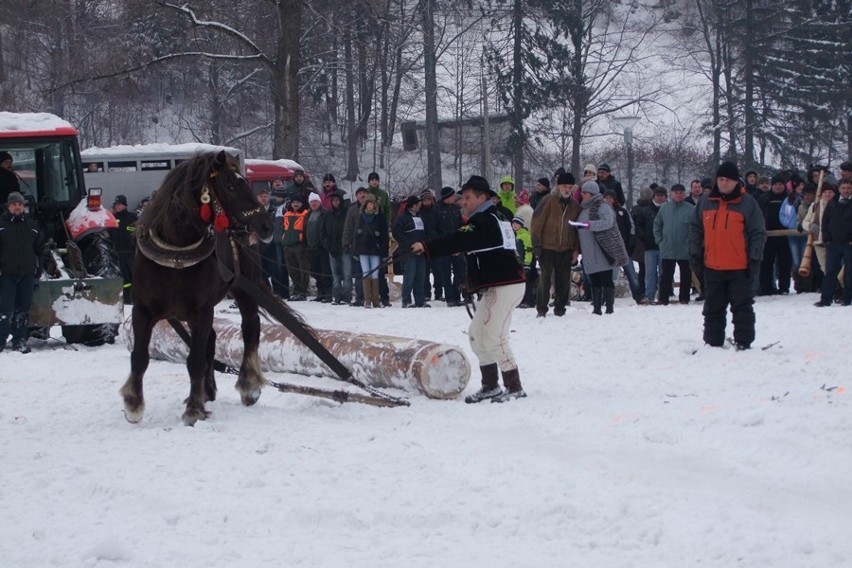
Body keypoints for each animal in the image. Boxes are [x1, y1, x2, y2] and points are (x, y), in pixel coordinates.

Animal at [120, 152, 272, 426]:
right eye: (231, 185)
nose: (266, 225)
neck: (176, 253)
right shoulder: (143, 311)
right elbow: (139, 357)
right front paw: (133, 404)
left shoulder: (201, 311)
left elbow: (194, 360)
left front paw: (193, 409)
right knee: (211, 339)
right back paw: (208, 390)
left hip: (245, 290)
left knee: (250, 327)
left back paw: (248, 385)